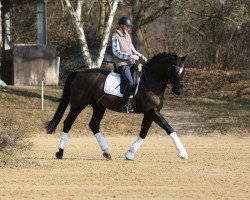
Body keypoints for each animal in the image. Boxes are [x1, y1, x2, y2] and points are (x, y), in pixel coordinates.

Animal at [46, 52, 188, 161]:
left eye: (183, 70)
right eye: (174, 69)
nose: (179, 90)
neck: (150, 81)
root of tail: (79, 73)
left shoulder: (150, 113)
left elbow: (144, 132)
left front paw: (130, 154)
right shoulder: (152, 111)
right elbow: (168, 127)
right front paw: (183, 153)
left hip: (99, 106)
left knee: (94, 125)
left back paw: (107, 152)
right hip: (78, 105)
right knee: (68, 123)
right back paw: (60, 152)